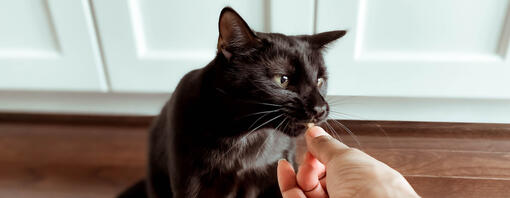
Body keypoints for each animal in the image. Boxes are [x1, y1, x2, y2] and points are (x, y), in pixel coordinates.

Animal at [117, 6, 344, 198]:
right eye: (283, 80)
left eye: (319, 80)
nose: (320, 109)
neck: (243, 138)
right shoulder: (189, 184)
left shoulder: (275, 169)